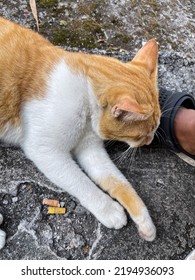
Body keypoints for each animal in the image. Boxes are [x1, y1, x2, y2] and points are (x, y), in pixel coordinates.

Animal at [0, 16, 161, 248]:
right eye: (141, 135)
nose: (148, 142)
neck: (85, 94)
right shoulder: (47, 151)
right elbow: (80, 182)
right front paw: (109, 209)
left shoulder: (91, 150)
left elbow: (119, 182)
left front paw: (145, 221)